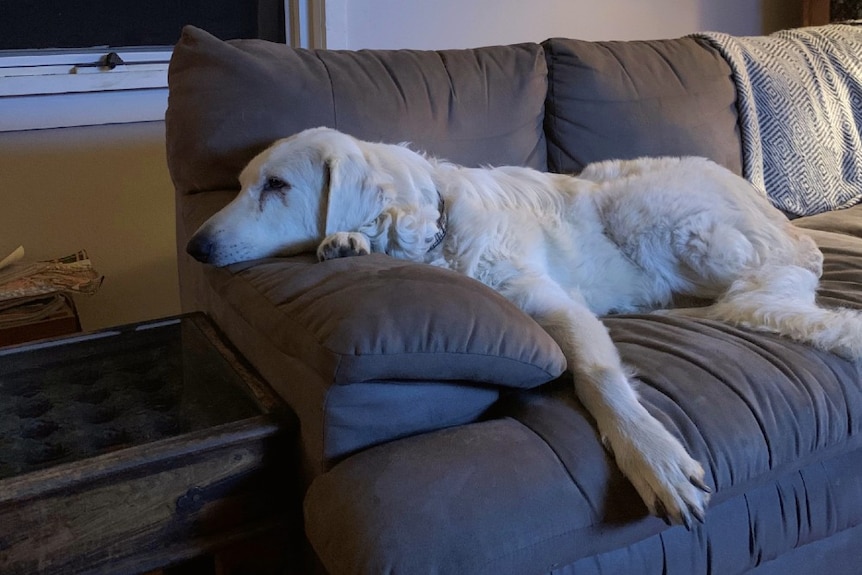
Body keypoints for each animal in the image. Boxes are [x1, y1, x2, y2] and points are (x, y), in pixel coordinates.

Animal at [187, 127, 862, 532]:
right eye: (241, 185)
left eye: (276, 187)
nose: (193, 248)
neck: (435, 225)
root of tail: (779, 215)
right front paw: (344, 242)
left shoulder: (552, 302)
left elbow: (595, 374)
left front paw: (651, 454)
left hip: (648, 215)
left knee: (770, 290)